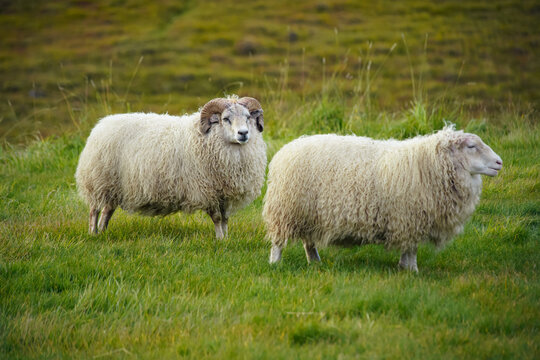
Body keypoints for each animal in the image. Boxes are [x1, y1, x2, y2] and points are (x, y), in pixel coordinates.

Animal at [75, 95, 266, 239]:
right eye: (226, 119)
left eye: (248, 117)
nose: (243, 133)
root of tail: (100, 125)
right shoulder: (207, 191)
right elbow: (217, 218)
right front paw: (219, 240)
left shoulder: (224, 193)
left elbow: (225, 218)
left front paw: (226, 238)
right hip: (98, 181)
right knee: (94, 210)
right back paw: (93, 234)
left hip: (114, 186)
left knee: (107, 211)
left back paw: (103, 232)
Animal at [264, 125, 504, 272]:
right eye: (471, 146)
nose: (499, 162)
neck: (430, 164)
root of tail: (286, 149)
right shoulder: (410, 218)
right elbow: (411, 248)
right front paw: (413, 270)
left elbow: (409, 248)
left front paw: (405, 268)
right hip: (286, 209)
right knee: (278, 242)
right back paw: (275, 263)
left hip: (308, 213)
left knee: (308, 241)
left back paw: (315, 262)